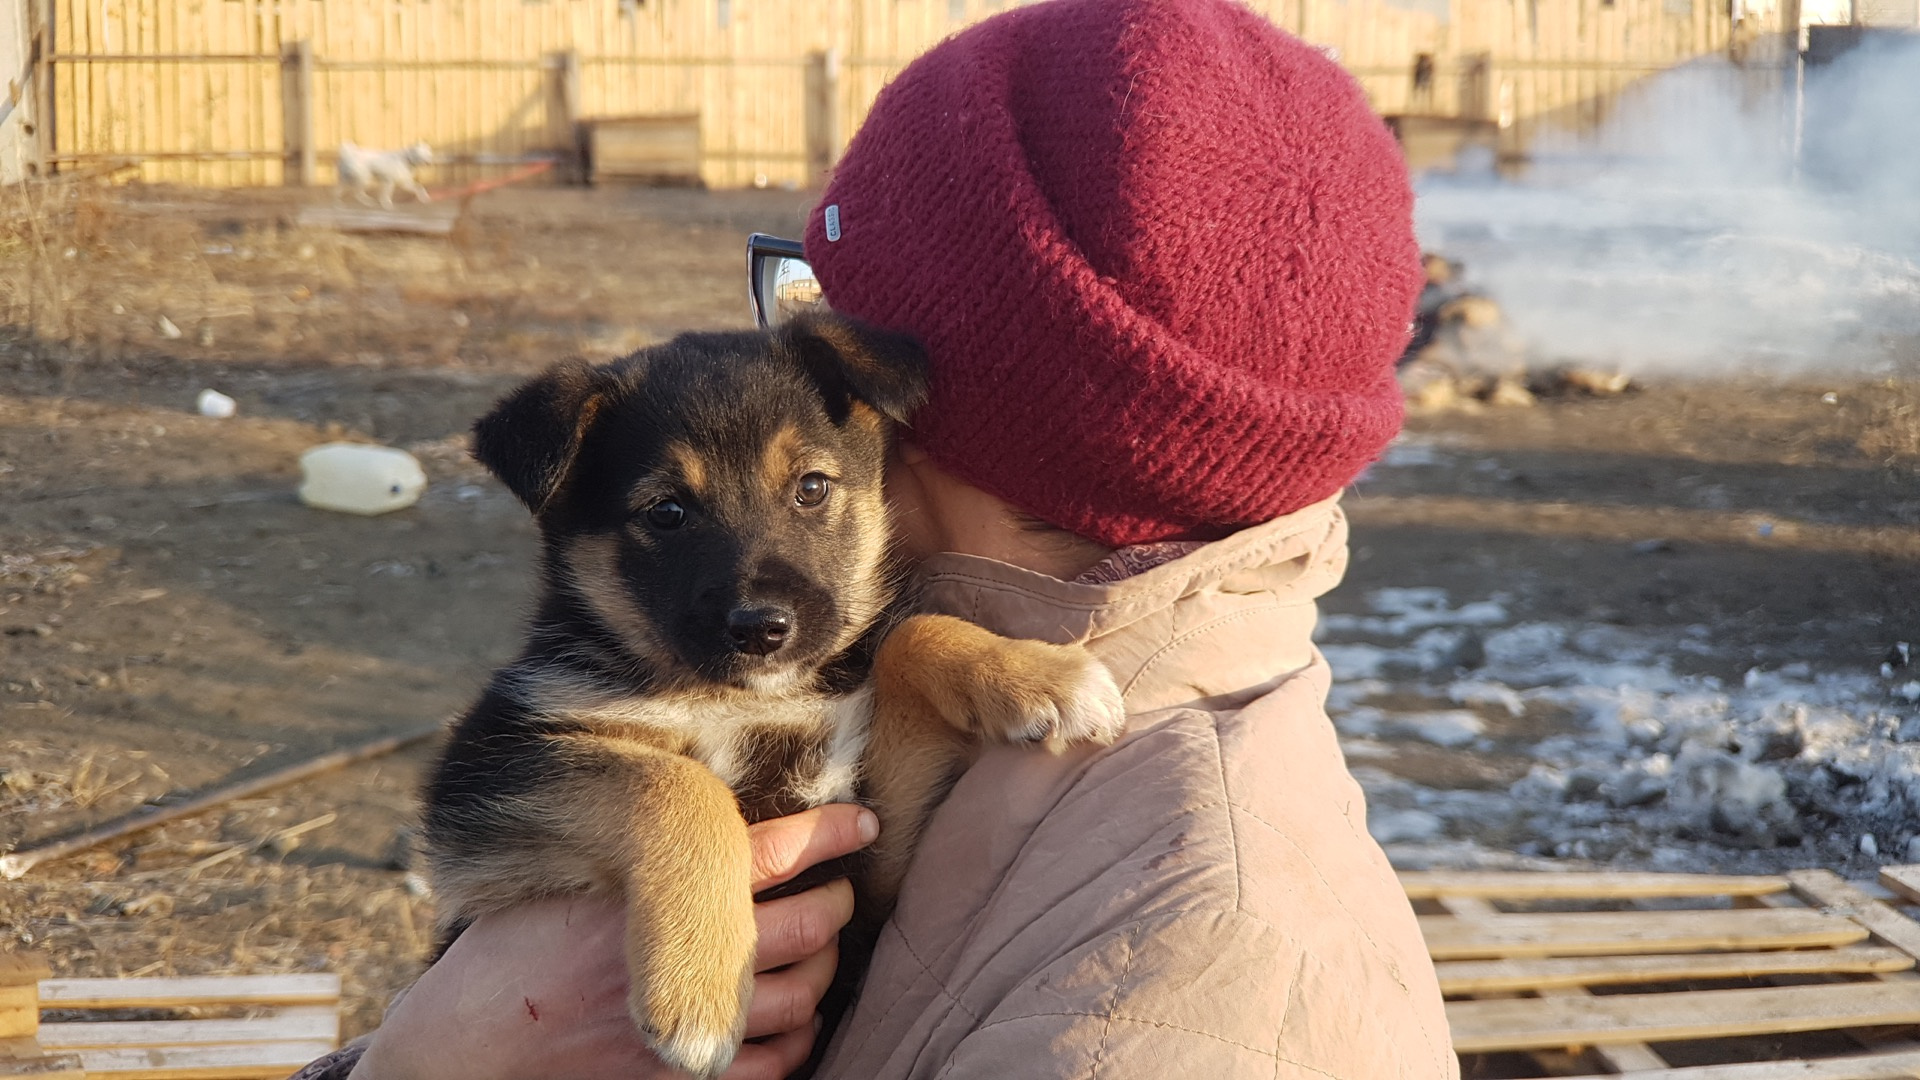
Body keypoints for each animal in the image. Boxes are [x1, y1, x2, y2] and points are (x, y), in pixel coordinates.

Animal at [424, 313, 1121, 1076]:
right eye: (665, 512)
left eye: (811, 488)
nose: (762, 627)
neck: (740, 700)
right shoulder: (486, 785)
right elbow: (675, 781)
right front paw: (697, 990)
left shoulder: (870, 857)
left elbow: (909, 636)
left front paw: (1044, 676)